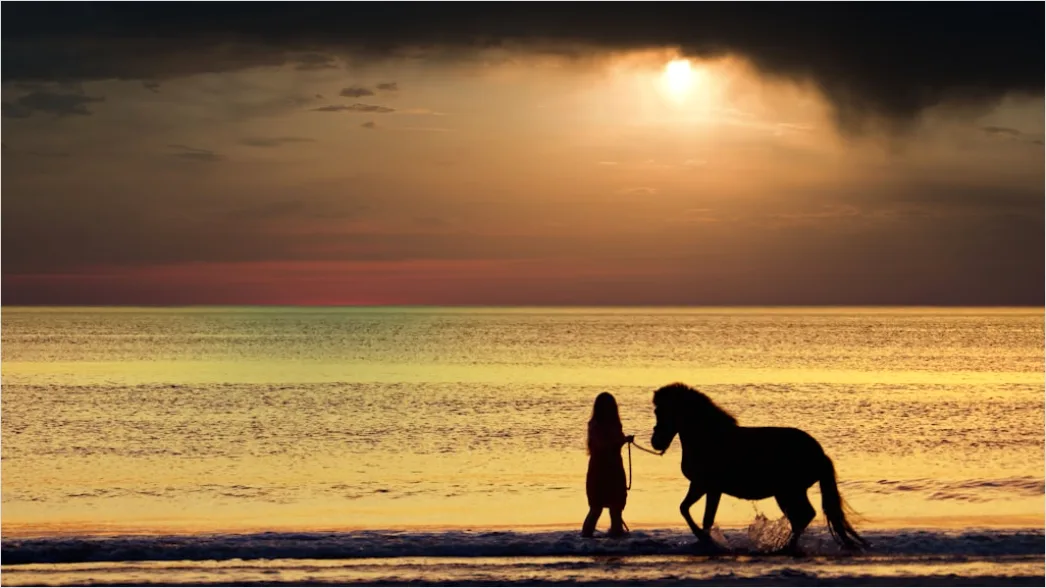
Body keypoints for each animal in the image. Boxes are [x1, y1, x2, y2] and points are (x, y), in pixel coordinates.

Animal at [650, 383, 868, 554]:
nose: (656, 442)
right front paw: (705, 541)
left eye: (663, 411)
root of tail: (819, 454)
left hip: (789, 492)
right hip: (788, 493)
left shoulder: (710, 487)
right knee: (801, 517)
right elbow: (687, 509)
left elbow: (702, 518)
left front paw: (707, 542)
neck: (710, 438)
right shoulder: (700, 485)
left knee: (804, 516)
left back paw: (784, 548)